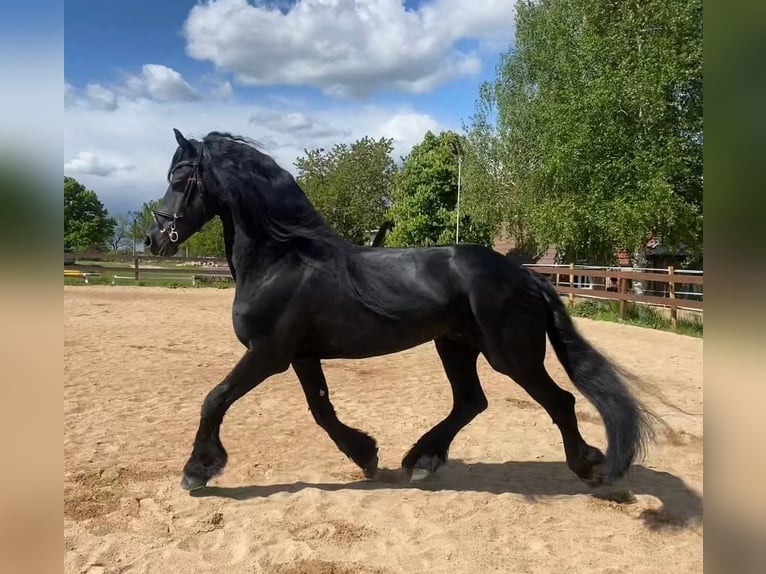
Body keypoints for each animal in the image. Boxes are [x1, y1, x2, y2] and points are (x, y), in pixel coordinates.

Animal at [145, 129, 653, 492]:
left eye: (178, 180)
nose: (153, 240)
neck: (282, 259)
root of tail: (526, 276)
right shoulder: (301, 356)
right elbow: (321, 410)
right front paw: (366, 454)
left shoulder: (268, 354)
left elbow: (216, 398)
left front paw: (197, 471)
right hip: (455, 345)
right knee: (471, 401)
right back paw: (421, 460)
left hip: (511, 355)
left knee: (559, 400)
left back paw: (589, 467)